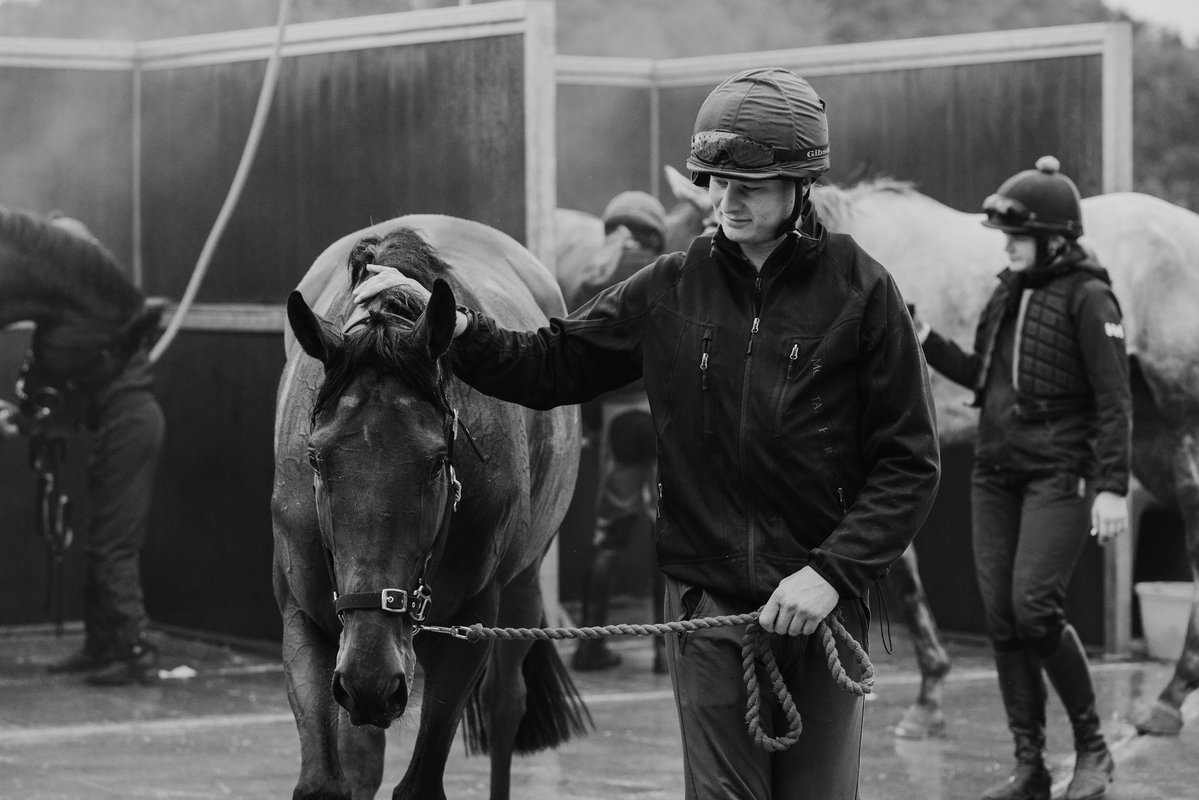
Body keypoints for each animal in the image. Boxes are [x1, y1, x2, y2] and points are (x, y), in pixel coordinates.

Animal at [273, 215, 588, 800]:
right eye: (316, 458)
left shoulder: (469, 624)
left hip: (523, 585)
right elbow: (327, 779)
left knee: (505, 705)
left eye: (439, 460)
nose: (373, 682)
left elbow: (420, 782)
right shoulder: (307, 619)